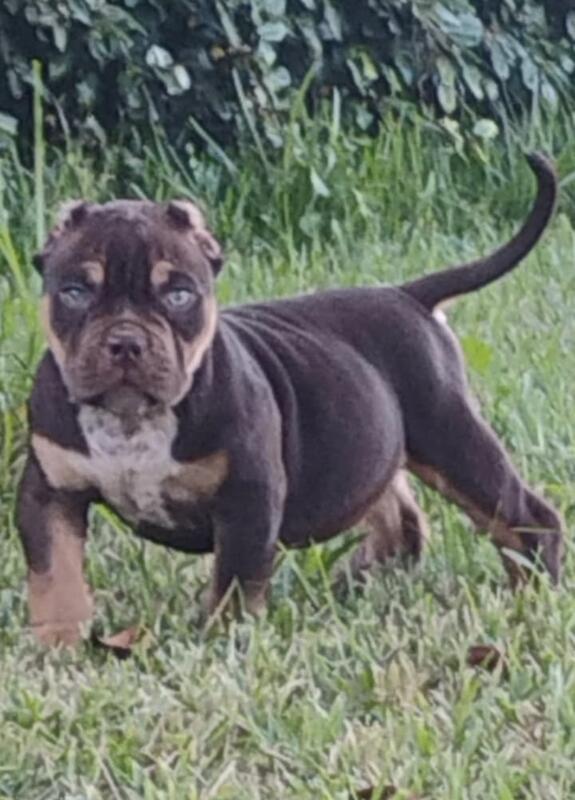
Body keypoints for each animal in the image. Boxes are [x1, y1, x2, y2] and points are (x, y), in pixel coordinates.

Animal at [17, 153, 563, 646]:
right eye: (74, 292)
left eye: (179, 295)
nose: (126, 342)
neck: (132, 419)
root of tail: (409, 295)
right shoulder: (50, 493)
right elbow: (56, 575)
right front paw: (59, 647)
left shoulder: (249, 495)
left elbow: (235, 581)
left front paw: (223, 643)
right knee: (399, 519)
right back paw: (358, 584)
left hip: (449, 435)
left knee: (525, 518)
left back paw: (530, 598)